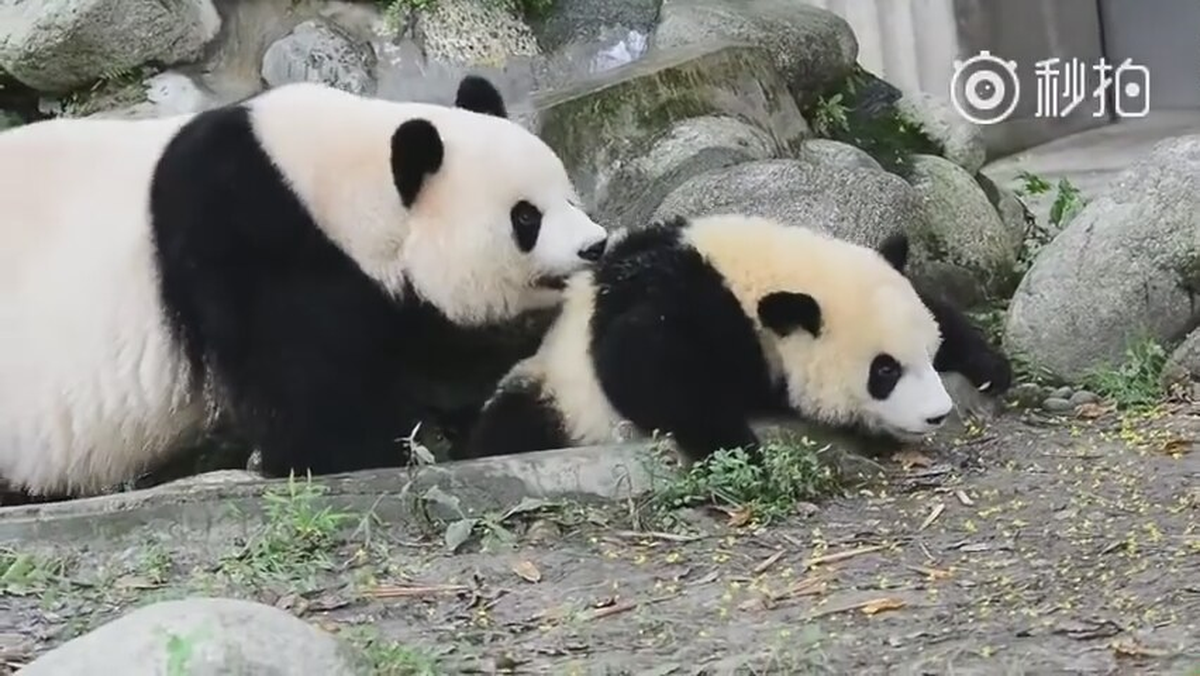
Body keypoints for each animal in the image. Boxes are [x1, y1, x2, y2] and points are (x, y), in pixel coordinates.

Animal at [0, 74, 610, 499]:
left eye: (569, 196)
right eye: (525, 218)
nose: (595, 246)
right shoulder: (247, 238)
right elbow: (307, 389)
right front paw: (383, 449)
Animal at [458, 213, 1013, 464]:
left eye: (930, 354)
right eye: (885, 371)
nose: (937, 414)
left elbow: (935, 302)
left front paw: (992, 367)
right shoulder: (693, 305)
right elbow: (642, 361)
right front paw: (736, 444)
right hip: (557, 396)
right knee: (514, 424)